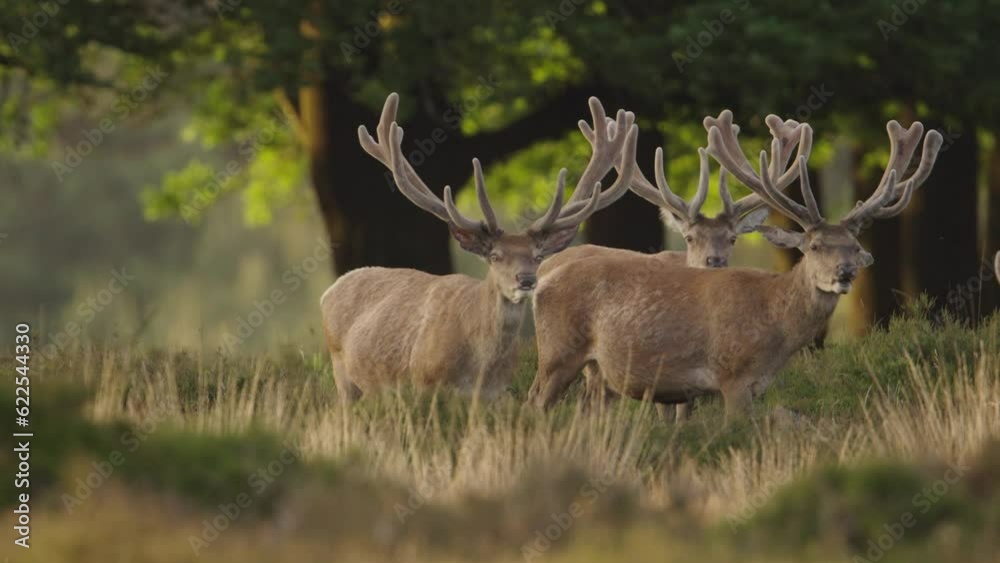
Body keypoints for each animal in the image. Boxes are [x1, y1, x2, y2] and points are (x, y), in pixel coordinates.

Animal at [320, 93, 638, 403]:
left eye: (537, 257)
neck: (479, 370)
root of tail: (330, 290)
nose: (526, 279)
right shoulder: (423, 385)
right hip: (342, 373)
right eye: (495, 256)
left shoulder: (493, 397)